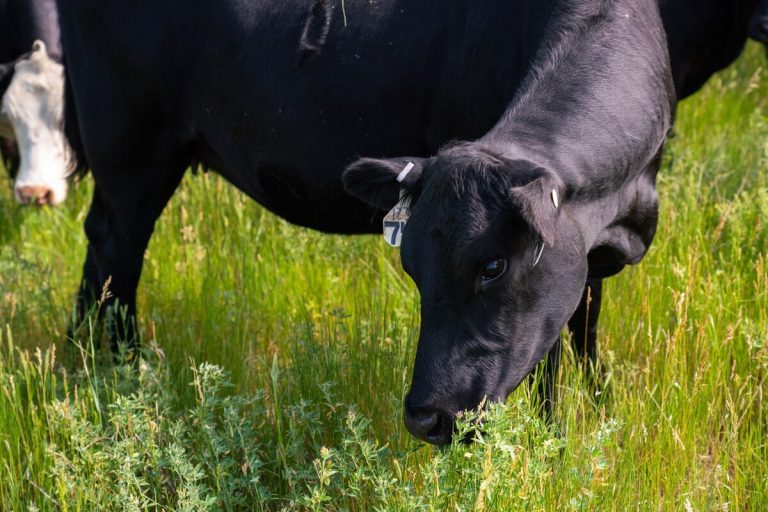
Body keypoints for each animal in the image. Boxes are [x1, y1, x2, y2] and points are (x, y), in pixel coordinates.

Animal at [57, 0, 674, 444]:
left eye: (493, 266)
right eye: (413, 269)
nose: (425, 418)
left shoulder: (587, 258)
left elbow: (582, 326)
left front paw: (597, 406)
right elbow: (550, 358)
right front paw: (555, 443)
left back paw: (87, 363)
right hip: (129, 150)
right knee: (117, 252)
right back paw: (119, 370)